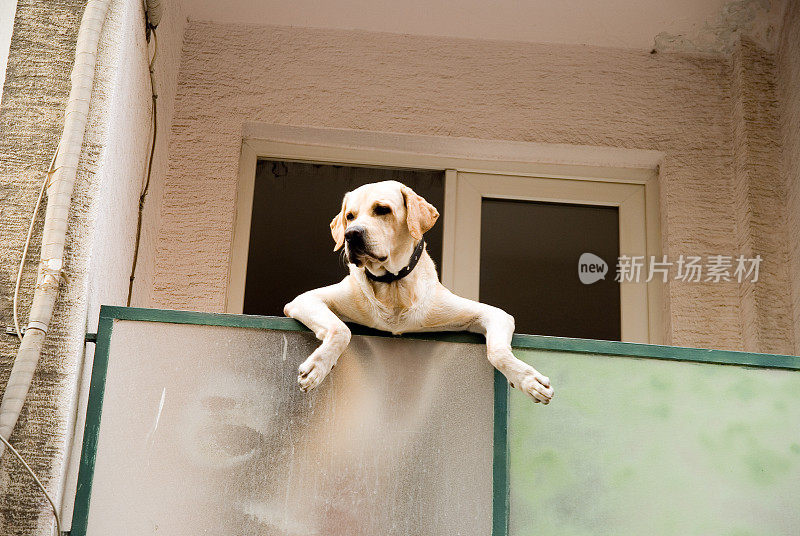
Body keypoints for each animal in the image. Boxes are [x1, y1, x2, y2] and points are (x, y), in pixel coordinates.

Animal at [284, 182, 552, 404]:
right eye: (350, 216)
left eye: (382, 210)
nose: (351, 234)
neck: (393, 286)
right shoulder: (304, 300)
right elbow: (340, 329)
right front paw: (318, 367)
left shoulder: (493, 314)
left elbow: (497, 351)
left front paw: (528, 380)